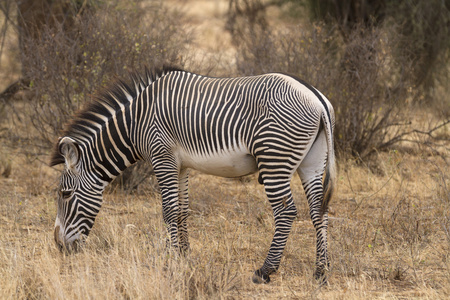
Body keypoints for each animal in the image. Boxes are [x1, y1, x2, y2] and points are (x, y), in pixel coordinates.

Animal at [51, 65, 336, 284]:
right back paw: (320, 272)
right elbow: (182, 210)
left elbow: (168, 211)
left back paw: (265, 271)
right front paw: (183, 255)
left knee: (286, 212)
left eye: (65, 194)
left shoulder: (162, 157)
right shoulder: (181, 165)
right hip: (312, 162)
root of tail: (316, 98)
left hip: (275, 159)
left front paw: (169, 259)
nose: (59, 246)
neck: (135, 123)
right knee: (318, 211)